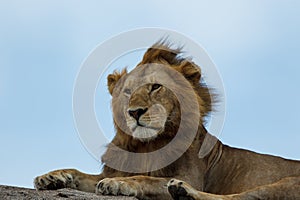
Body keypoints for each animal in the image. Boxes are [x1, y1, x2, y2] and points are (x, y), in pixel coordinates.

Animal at [34, 41, 300, 199]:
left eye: (155, 87)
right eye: (127, 91)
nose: (134, 112)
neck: (146, 145)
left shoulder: (192, 176)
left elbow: (148, 179)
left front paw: (118, 183)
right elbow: (80, 174)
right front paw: (52, 177)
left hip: (285, 184)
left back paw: (183, 191)